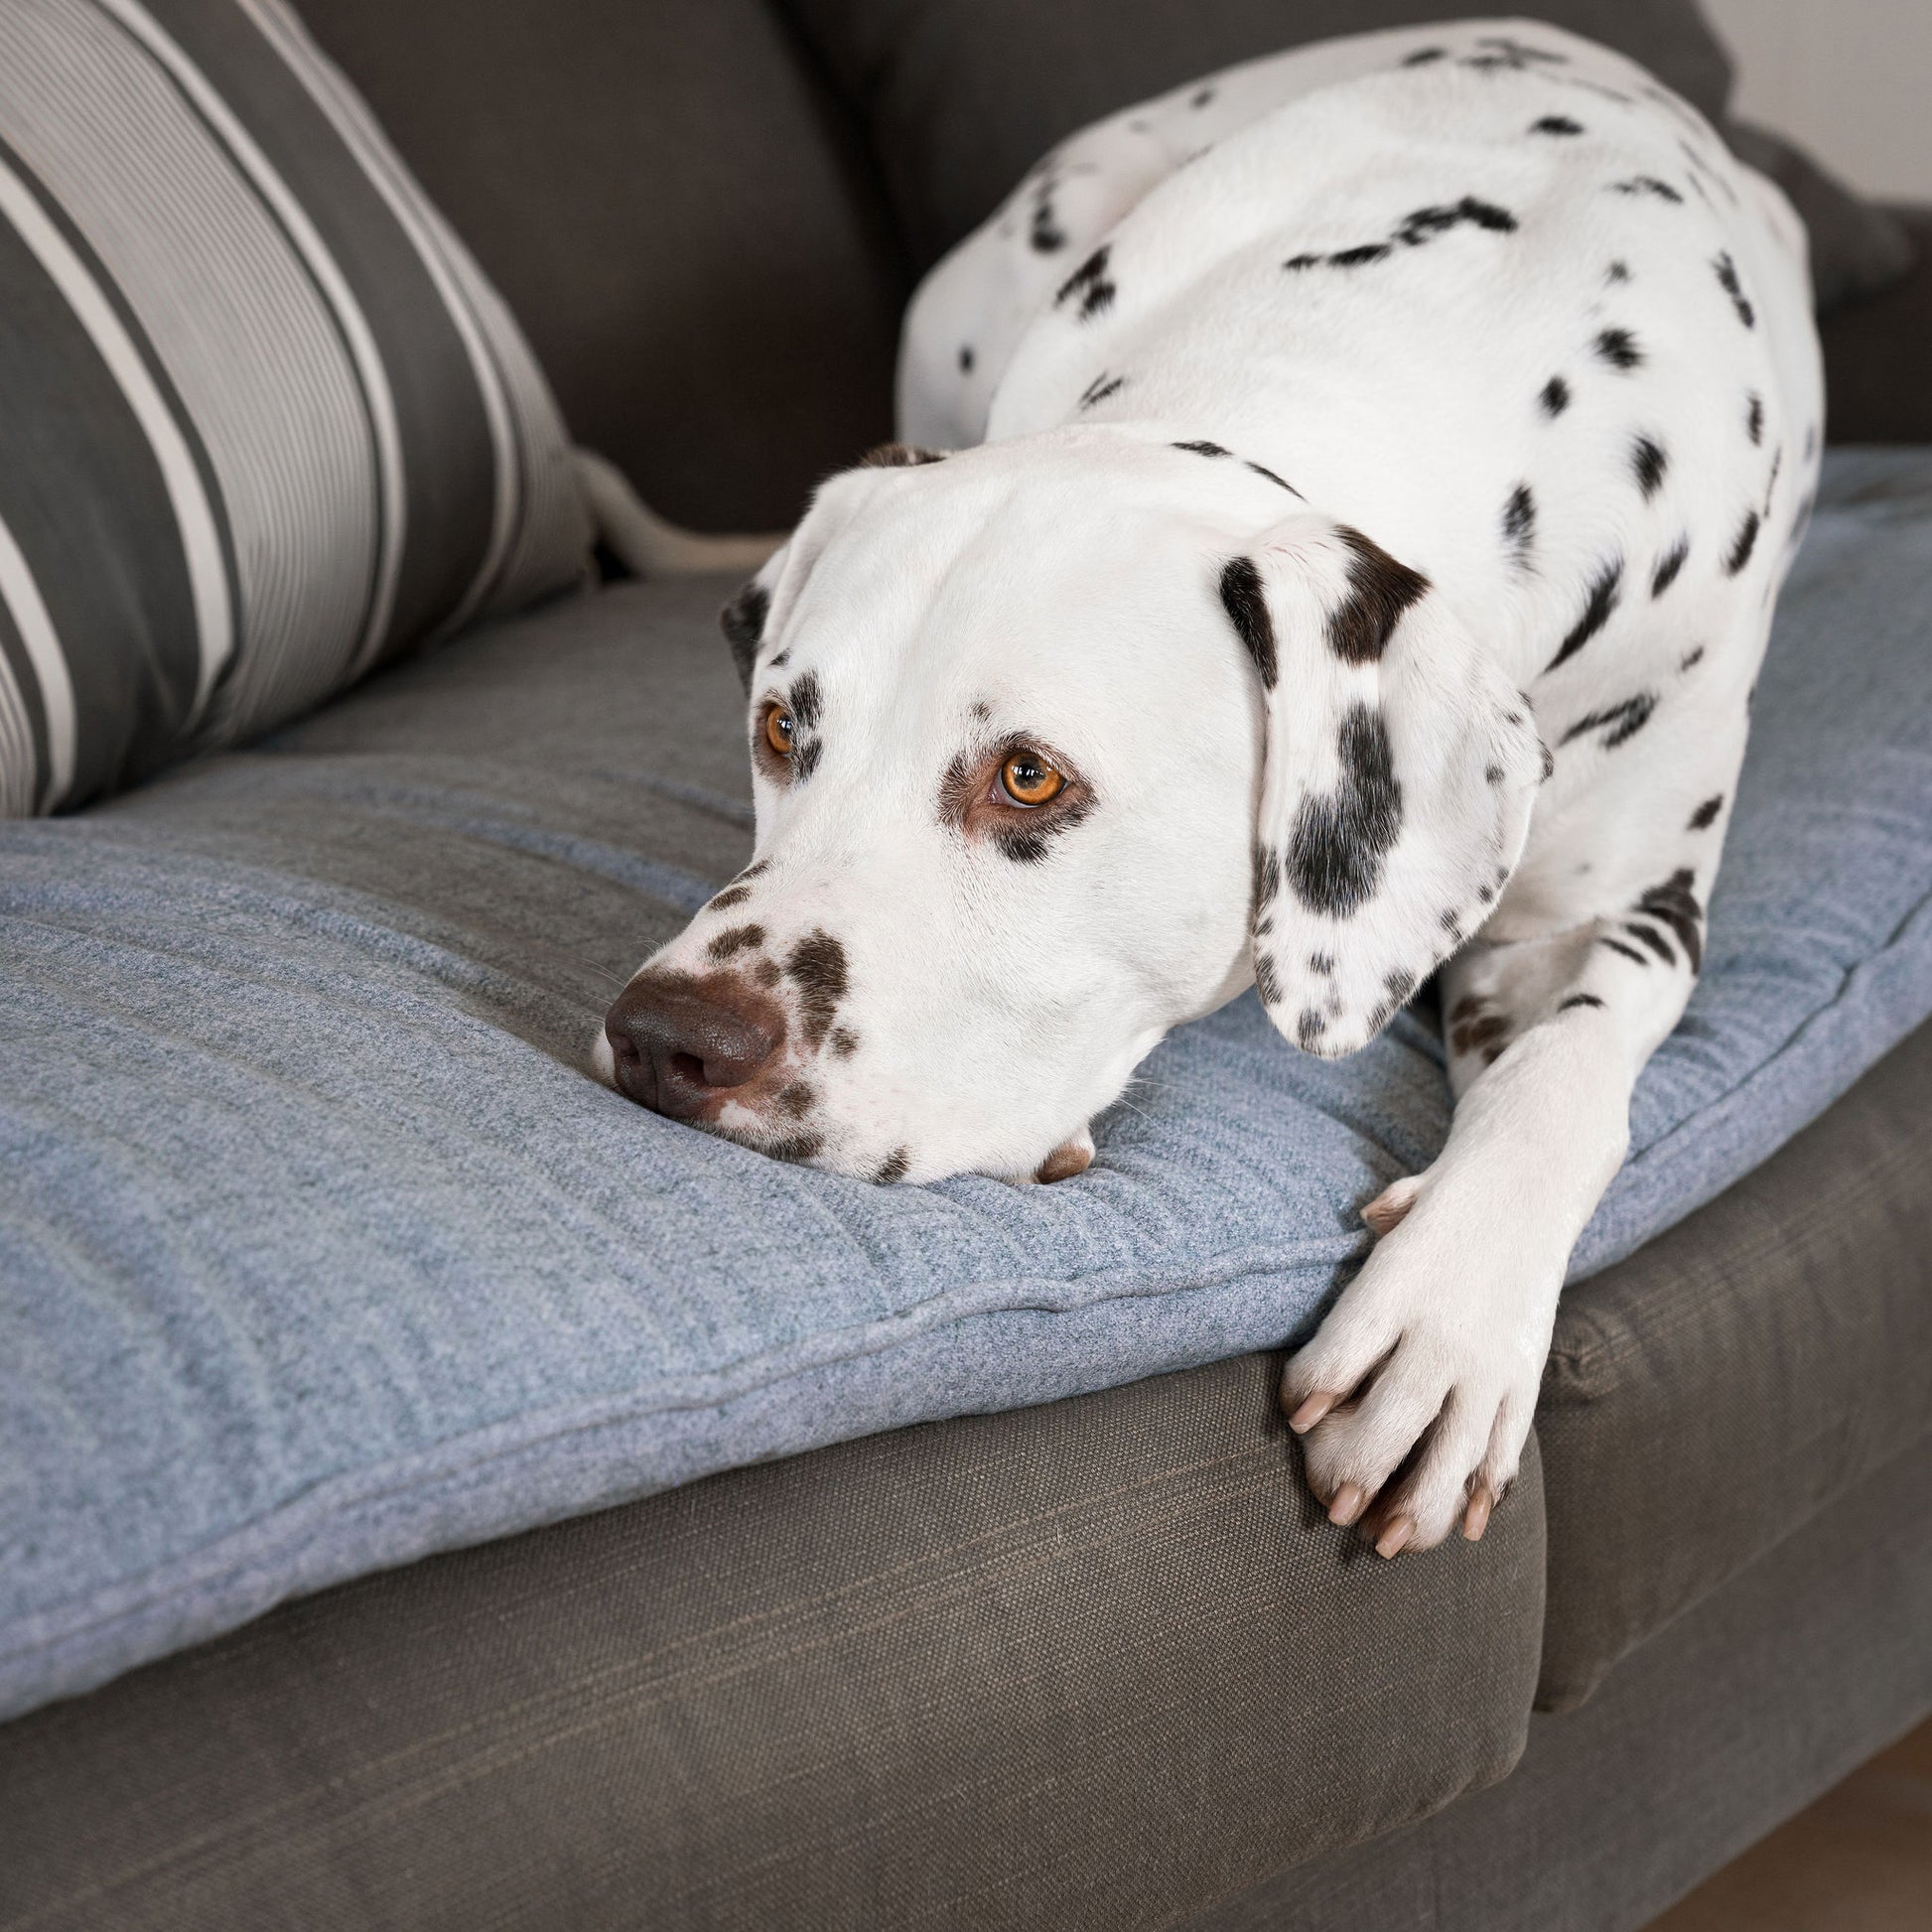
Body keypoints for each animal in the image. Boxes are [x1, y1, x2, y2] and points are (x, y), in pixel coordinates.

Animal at [599, 22, 1824, 1561]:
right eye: (778, 728)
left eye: (1026, 776)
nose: (664, 1037)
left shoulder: (1602, 918)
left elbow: (1563, 1076)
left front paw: (1446, 1321)